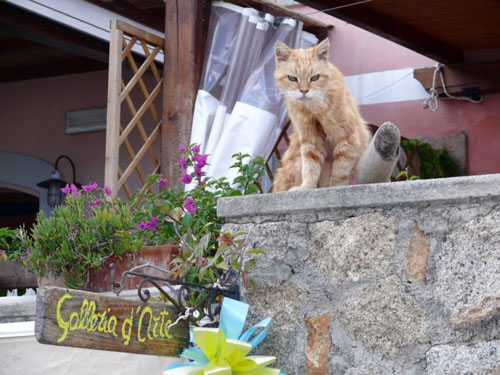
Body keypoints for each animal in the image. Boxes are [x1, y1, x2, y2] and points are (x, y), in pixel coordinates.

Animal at [274, 38, 372, 192]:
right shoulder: (310, 139)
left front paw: (334, 188)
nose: (304, 91)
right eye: (292, 78)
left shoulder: (346, 139)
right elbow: (310, 167)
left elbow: (339, 173)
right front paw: (306, 187)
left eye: (314, 77)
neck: (314, 109)